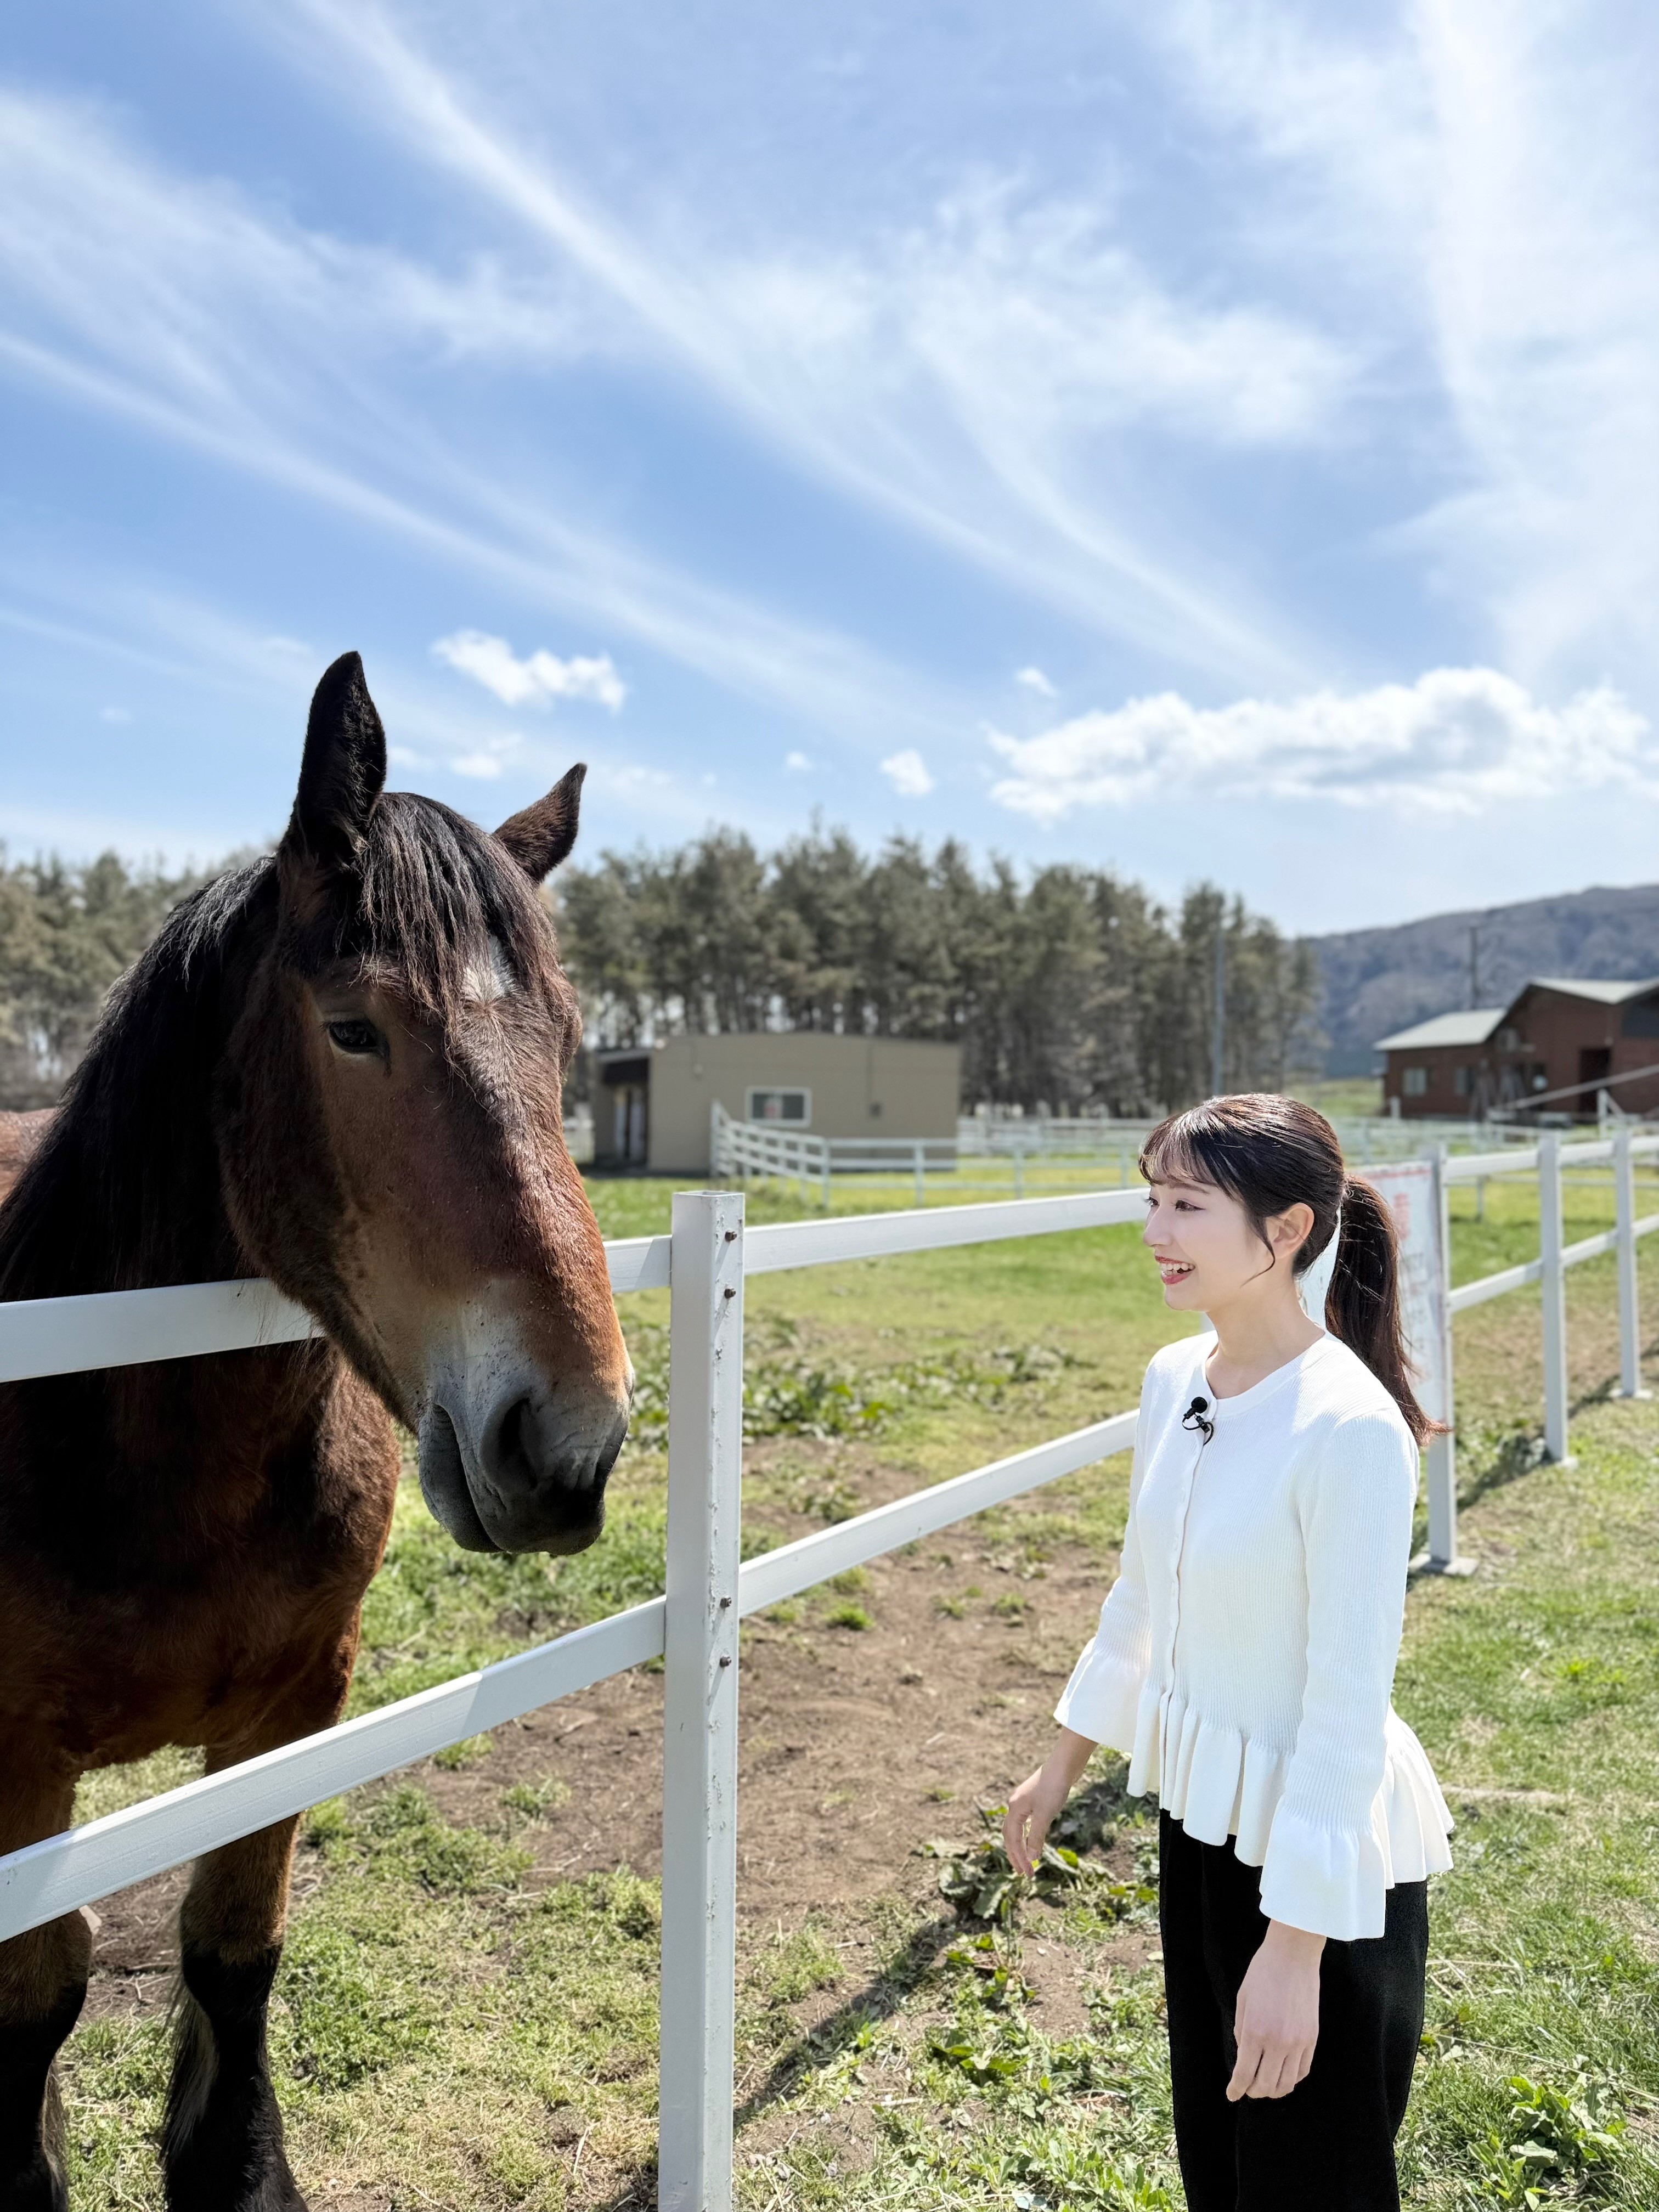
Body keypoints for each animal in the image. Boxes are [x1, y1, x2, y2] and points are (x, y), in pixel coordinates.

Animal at [0, 653, 633, 2212]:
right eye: (354, 1027)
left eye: (566, 1041)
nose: (568, 1444)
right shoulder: (15, 1761)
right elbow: (38, 1997)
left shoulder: (298, 1704)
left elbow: (234, 1952)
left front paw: (237, 2171)